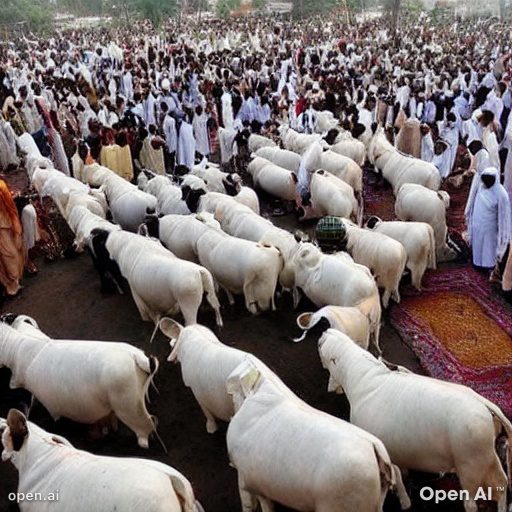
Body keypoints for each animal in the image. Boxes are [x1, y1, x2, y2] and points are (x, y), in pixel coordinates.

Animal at [0, 324, 158, 448]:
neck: (16, 350)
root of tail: (135, 356)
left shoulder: (51, 405)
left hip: (128, 406)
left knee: (147, 424)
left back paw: (144, 441)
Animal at [318, 328, 510, 512]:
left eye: (323, 346)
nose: (325, 332)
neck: (363, 375)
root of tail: (485, 405)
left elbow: (397, 477)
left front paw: (404, 500)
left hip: (472, 463)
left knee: (476, 498)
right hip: (486, 457)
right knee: (502, 484)